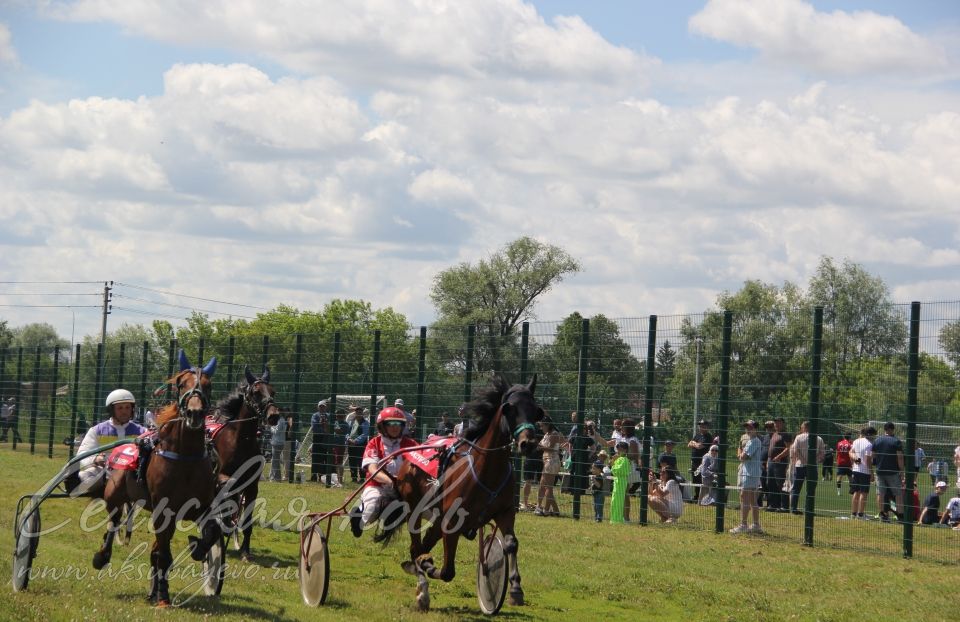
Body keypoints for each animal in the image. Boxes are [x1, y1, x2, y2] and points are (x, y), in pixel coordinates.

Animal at [204, 368, 276, 564]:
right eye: (256, 392)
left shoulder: (252, 486)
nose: (273, 415)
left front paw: (245, 551)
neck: (241, 441)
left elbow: (247, 521)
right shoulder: (222, 476)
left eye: (273, 392)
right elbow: (227, 488)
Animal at [376, 376, 544, 616]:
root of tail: (410, 455)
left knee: (424, 545)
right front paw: (428, 567)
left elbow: (511, 543)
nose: (527, 443)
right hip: (414, 510)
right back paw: (422, 587)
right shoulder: (452, 521)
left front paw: (515, 589)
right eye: (509, 408)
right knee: (416, 547)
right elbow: (447, 572)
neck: (487, 469)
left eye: (536, 411)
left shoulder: (505, 512)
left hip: (437, 519)